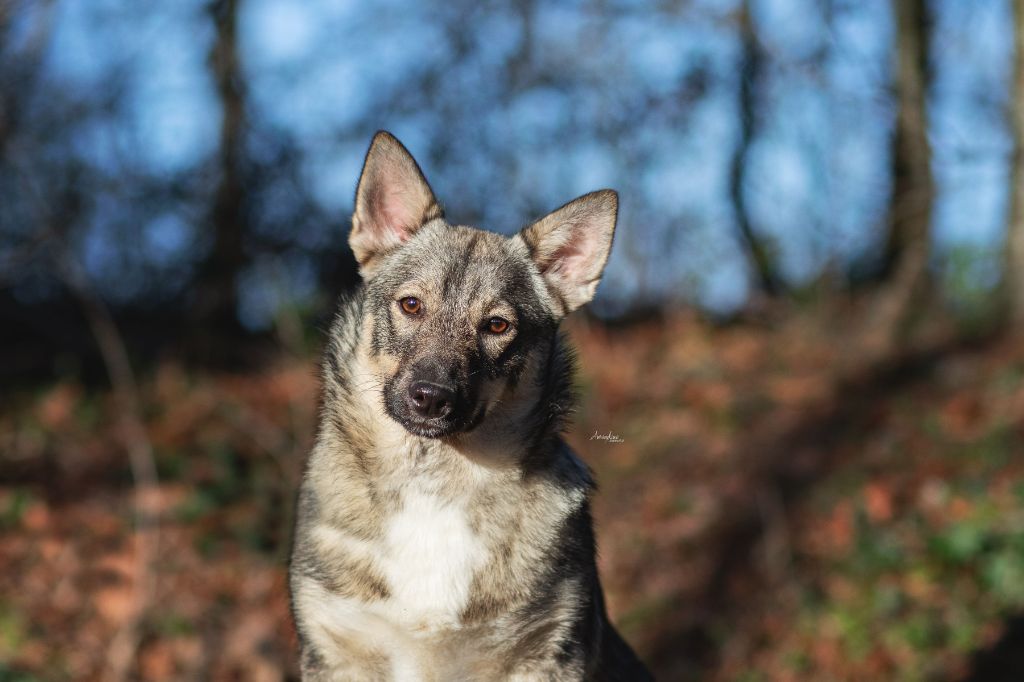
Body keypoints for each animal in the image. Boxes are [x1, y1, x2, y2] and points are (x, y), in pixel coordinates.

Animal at [288, 130, 651, 675]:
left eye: (497, 325)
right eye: (411, 305)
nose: (430, 398)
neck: (433, 486)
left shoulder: (545, 654)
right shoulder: (338, 653)